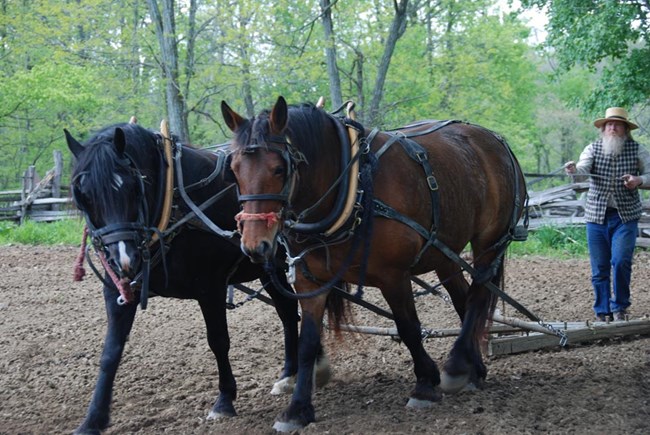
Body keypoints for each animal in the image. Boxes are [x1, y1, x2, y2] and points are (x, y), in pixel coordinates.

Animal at [64, 122, 334, 435]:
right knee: (289, 313)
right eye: (84, 194)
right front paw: (92, 420)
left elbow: (218, 340)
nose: (124, 260)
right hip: (270, 267)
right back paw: (290, 374)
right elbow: (110, 353)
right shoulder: (118, 291)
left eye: (133, 186)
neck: (171, 202)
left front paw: (224, 400)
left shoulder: (210, 287)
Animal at [220, 96, 524, 432]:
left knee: (478, 295)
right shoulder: (310, 282)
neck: (354, 189)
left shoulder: (394, 276)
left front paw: (425, 384)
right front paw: (297, 409)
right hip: (444, 252)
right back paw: (474, 369)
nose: (254, 245)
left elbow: (409, 328)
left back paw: (457, 367)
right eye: (234, 170)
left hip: (489, 242)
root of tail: (494, 139)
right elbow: (307, 343)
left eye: (278, 168)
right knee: (464, 299)